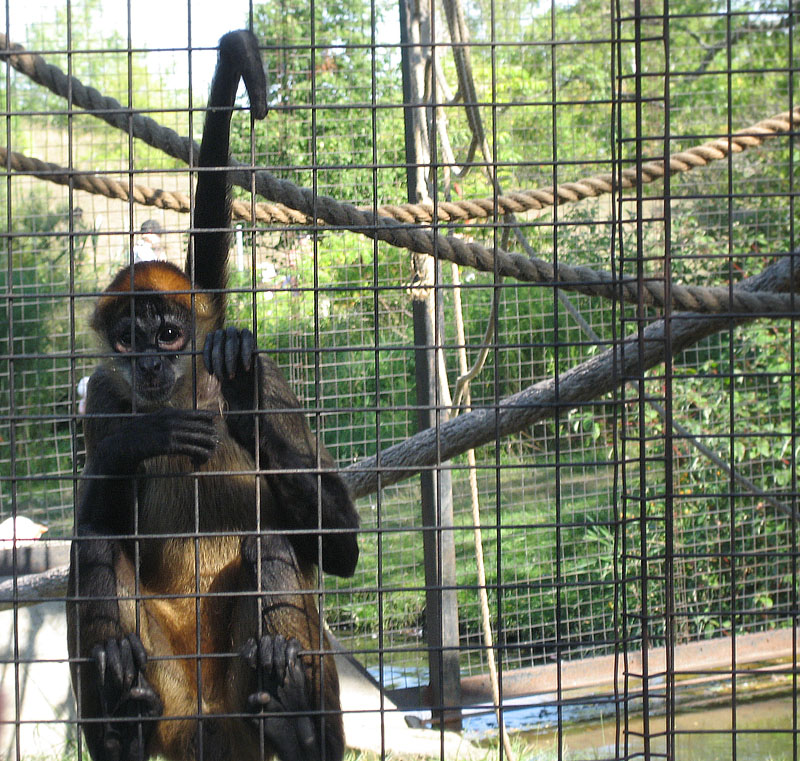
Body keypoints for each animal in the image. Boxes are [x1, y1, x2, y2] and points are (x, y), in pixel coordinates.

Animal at [69, 28, 360, 760]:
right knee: (94, 545)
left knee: (270, 548)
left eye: (170, 333)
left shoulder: (272, 373)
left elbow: (340, 546)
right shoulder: (104, 395)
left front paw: (239, 381)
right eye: (128, 338)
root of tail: (209, 721)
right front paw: (141, 440)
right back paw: (124, 722)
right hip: (172, 677)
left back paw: (297, 728)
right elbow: (102, 508)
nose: (150, 361)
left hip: (249, 676)